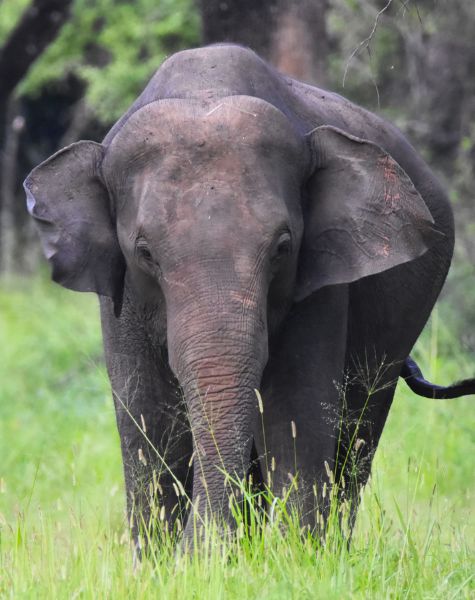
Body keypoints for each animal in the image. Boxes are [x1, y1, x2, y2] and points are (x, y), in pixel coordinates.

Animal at [25, 42, 475, 548]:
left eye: (282, 247)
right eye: (145, 253)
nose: (200, 549)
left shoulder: (319, 282)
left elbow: (295, 410)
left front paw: (296, 555)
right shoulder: (121, 293)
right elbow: (147, 419)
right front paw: (169, 557)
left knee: (359, 431)